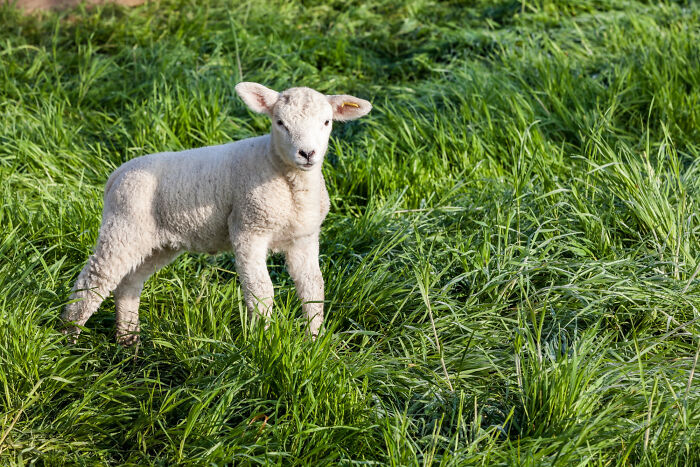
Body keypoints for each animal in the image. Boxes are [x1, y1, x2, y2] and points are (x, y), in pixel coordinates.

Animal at [62, 82, 372, 345]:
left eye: (327, 122)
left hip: (156, 242)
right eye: (280, 123)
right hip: (122, 227)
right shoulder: (248, 229)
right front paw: (263, 342)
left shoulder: (303, 238)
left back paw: (128, 342)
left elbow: (312, 289)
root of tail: (116, 175)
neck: (284, 175)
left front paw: (314, 342)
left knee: (128, 284)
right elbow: (261, 292)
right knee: (92, 281)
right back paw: (68, 340)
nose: (307, 154)